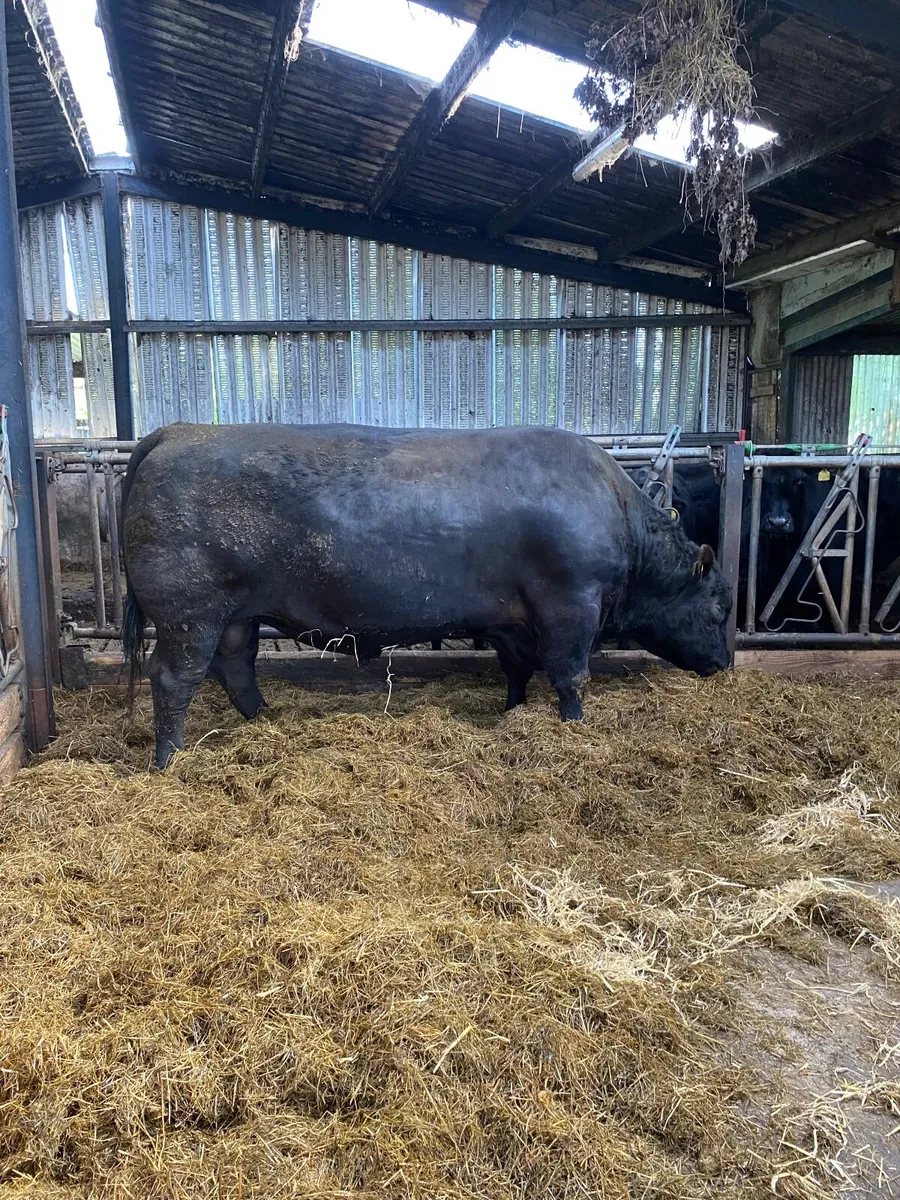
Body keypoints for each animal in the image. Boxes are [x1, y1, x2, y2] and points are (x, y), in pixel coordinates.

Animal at [121, 423, 733, 768]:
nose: (725, 664)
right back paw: (168, 760)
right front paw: (575, 727)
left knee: (235, 667)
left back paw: (264, 722)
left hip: (235, 616)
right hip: (189, 613)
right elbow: (570, 674)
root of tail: (177, 432)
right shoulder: (570, 604)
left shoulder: (509, 619)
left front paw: (514, 711)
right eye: (719, 607)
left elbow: (518, 668)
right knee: (174, 679)